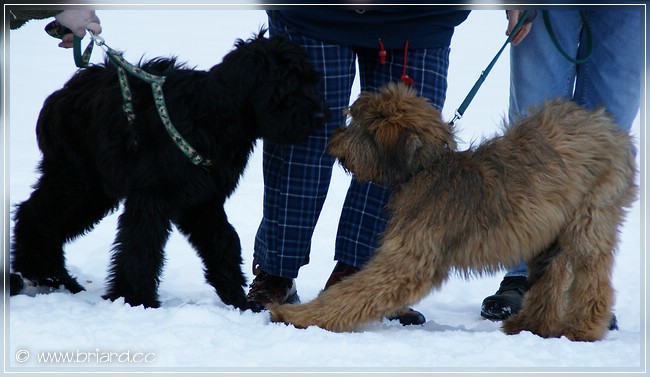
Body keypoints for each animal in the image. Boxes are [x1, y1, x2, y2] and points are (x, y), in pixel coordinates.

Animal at [8, 30, 324, 310]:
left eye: (311, 79)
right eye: (288, 82)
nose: (322, 114)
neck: (213, 114)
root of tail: (61, 94)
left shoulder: (204, 201)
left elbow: (224, 243)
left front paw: (238, 299)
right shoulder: (152, 197)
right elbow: (141, 246)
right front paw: (135, 299)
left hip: (94, 191)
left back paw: (52, 276)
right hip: (77, 180)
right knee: (34, 213)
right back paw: (47, 273)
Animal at [268, 82, 632, 340]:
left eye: (359, 126)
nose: (332, 139)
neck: (425, 168)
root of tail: (603, 123)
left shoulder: (409, 258)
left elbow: (354, 292)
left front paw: (296, 316)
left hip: (590, 216)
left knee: (592, 278)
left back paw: (582, 329)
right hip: (546, 232)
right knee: (551, 276)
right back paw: (531, 325)